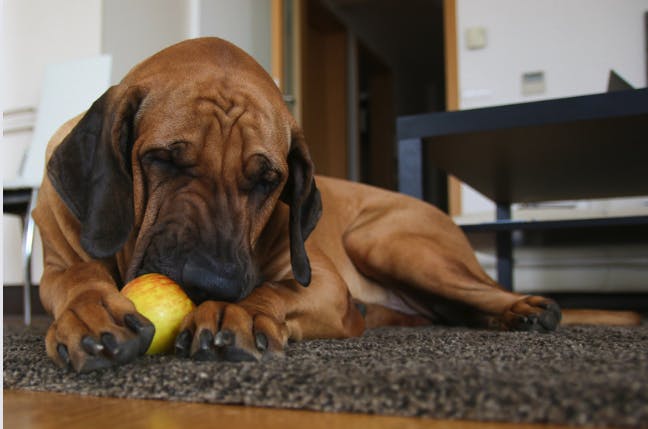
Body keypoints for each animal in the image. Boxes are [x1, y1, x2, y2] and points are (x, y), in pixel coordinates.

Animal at [33, 36, 560, 372]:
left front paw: (238, 312)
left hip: (383, 240)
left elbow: (277, 289)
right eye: (162, 159)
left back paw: (525, 309)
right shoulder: (58, 267)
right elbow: (78, 277)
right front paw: (91, 313)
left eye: (267, 180)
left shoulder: (322, 281)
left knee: (480, 289)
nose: (212, 284)